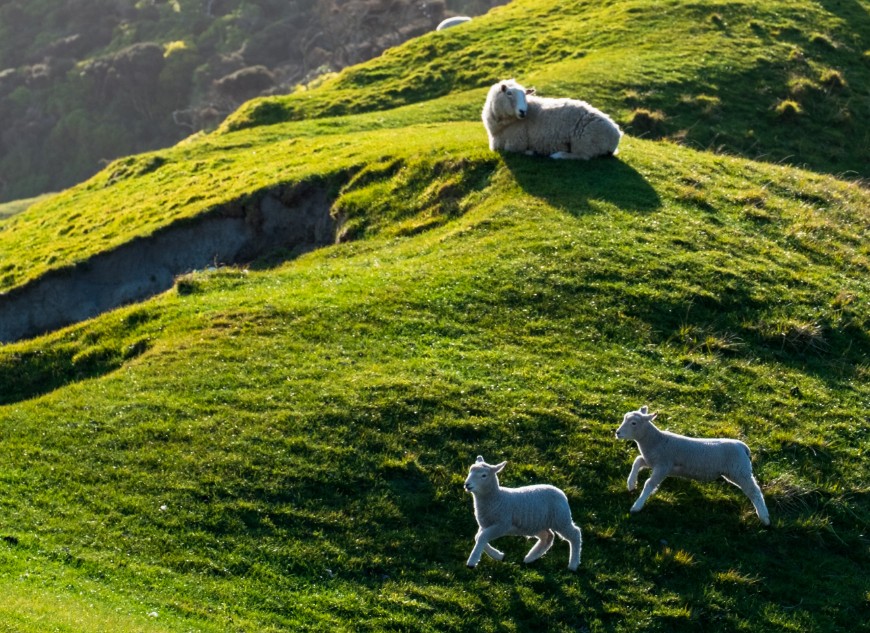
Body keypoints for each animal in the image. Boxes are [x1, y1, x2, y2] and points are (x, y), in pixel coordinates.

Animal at [480, 79, 624, 159]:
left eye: (525, 95)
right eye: (509, 93)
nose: (523, 111)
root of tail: (617, 133)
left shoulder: (515, 143)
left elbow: (515, 151)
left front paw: (530, 152)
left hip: (585, 142)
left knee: (583, 156)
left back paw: (558, 155)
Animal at [616, 404, 772, 524]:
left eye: (634, 423)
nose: (617, 433)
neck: (656, 441)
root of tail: (743, 446)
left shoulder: (663, 466)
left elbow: (649, 484)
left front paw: (637, 506)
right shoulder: (652, 461)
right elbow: (637, 461)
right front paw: (631, 484)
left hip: (740, 471)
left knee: (755, 492)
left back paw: (764, 518)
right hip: (737, 471)